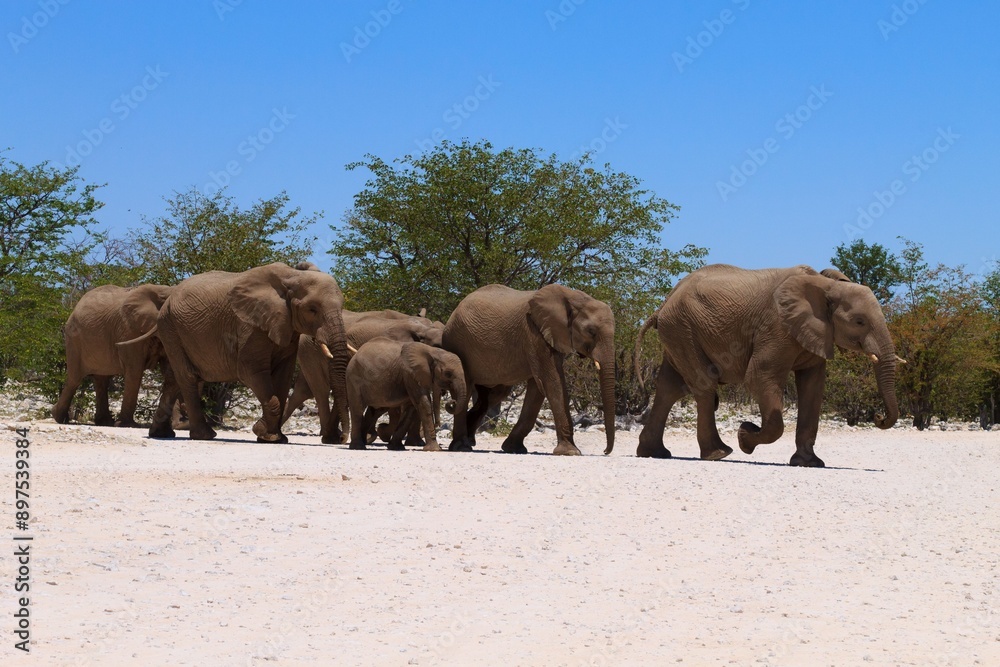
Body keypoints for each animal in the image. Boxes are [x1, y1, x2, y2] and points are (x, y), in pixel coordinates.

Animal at [52, 283, 173, 427]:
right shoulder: (128, 331)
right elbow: (135, 370)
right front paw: (127, 425)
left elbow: (170, 370)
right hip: (74, 339)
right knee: (75, 379)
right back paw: (59, 418)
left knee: (101, 380)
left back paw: (104, 421)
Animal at [133, 262, 351, 443]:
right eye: (312, 309)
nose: (342, 439)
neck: (292, 276)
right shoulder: (249, 326)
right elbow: (250, 371)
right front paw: (264, 434)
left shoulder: (287, 328)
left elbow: (283, 375)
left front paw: (276, 438)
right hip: (171, 328)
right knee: (187, 376)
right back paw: (204, 436)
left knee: (173, 379)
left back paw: (161, 434)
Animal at [281, 311, 444, 443]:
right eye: (438, 346)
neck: (422, 328)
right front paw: (381, 434)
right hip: (312, 352)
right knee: (321, 392)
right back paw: (332, 436)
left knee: (303, 391)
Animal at [442, 283, 617, 456]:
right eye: (591, 331)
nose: (605, 451)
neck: (573, 297)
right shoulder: (533, 332)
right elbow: (552, 383)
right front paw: (571, 452)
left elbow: (538, 387)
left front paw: (513, 449)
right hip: (457, 344)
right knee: (466, 389)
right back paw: (461, 446)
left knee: (494, 395)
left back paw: (469, 440)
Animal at [635, 264, 901, 467]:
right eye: (859, 321)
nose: (878, 416)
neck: (826, 285)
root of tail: (664, 303)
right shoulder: (776, 326)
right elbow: (760, 377)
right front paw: (745, 436)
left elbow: (812, 389)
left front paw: (809, 463)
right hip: (683, 329)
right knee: (704, 384)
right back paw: (719, 454)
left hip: (678, 333)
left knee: (670, 388)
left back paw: (653, 453)